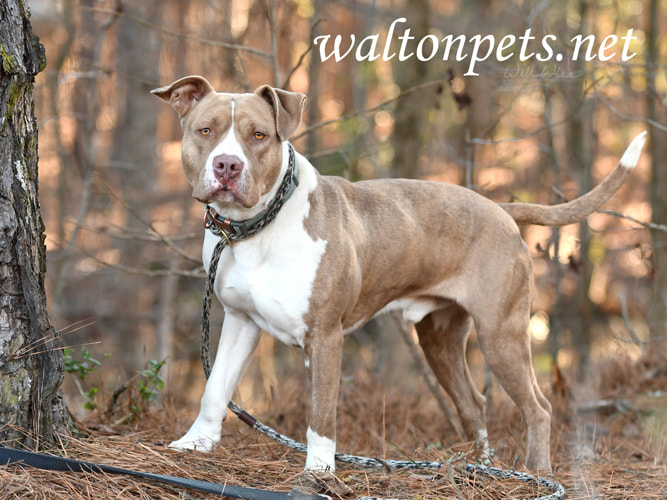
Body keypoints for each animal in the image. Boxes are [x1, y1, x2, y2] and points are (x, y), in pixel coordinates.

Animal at [153, 75, 648, 472]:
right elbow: (215, 388)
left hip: (501, 334)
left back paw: (536, 473)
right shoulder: (240, 322)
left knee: (539, 408)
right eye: (205, 131)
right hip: (439, 339)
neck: (255, 228)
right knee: (475, 403)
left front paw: (319, 471)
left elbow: (321, 413)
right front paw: (194, 443)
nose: (227, 165)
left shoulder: (326, 337)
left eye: (258, 135)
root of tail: (501, 209)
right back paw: (481, 467)